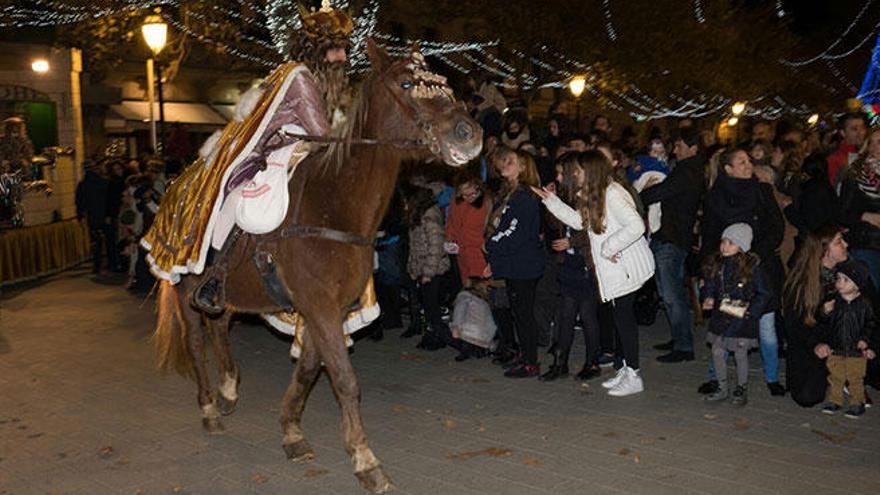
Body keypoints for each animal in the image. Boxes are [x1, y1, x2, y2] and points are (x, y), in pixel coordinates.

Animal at [152, 40, 482, 494]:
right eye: (407, 83)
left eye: (444, 83)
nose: (469, 134)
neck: (333, 204)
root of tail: (178, 183)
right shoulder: (320, 307)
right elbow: (343, 378)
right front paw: (365, 459)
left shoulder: (326, 309)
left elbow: (309, 369)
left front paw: (292, 432)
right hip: (185, 287)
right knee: (198, 343)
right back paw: (209, 408)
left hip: (227, 293)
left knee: (219, 328)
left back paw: (229, 391)